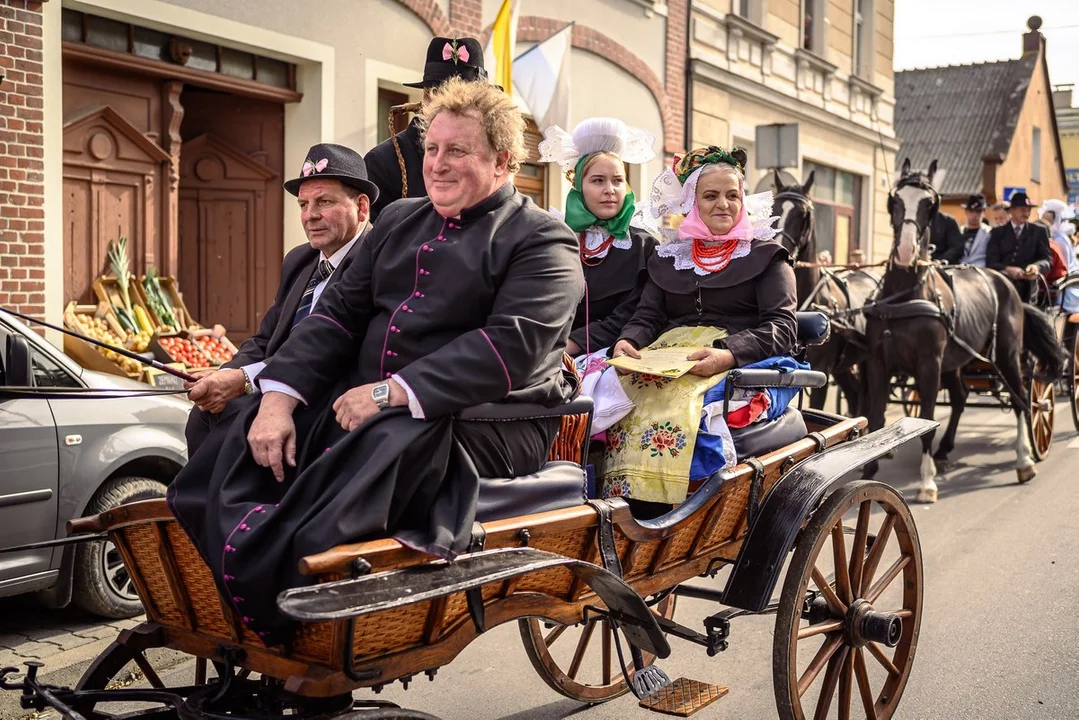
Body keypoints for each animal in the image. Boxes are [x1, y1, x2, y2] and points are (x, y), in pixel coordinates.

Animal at [858, 160, 1061, 505]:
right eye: (894, 200)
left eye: (930, 204)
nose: (905, 251)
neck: (904, 296)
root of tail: (1007, 283)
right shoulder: (877, 363)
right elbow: (875, 418)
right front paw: (868, 471)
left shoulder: (929, 364)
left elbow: (926, 417)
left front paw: (927, 483)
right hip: (956, 361)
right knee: (960, 397)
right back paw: (945, 451)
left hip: (1007, 356)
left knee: (1021, 400)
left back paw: (1024, 460)